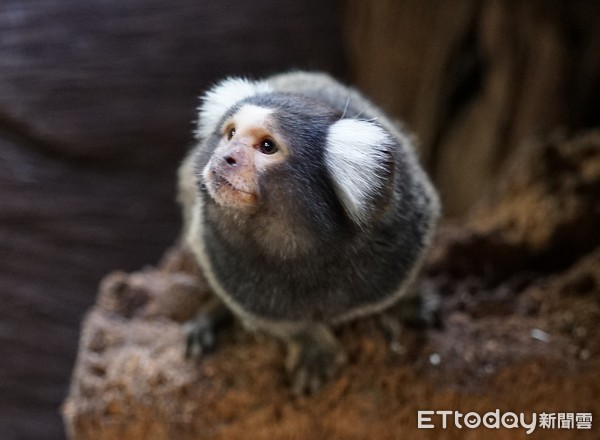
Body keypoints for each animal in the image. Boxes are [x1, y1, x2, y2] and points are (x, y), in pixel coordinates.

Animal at [178, 70, 440, 394]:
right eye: (230, 134)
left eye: (267, 146)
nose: (224, 157)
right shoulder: (224, 263)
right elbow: (280, 320)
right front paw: (312, 344)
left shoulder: (406, 231)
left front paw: (406, 304)